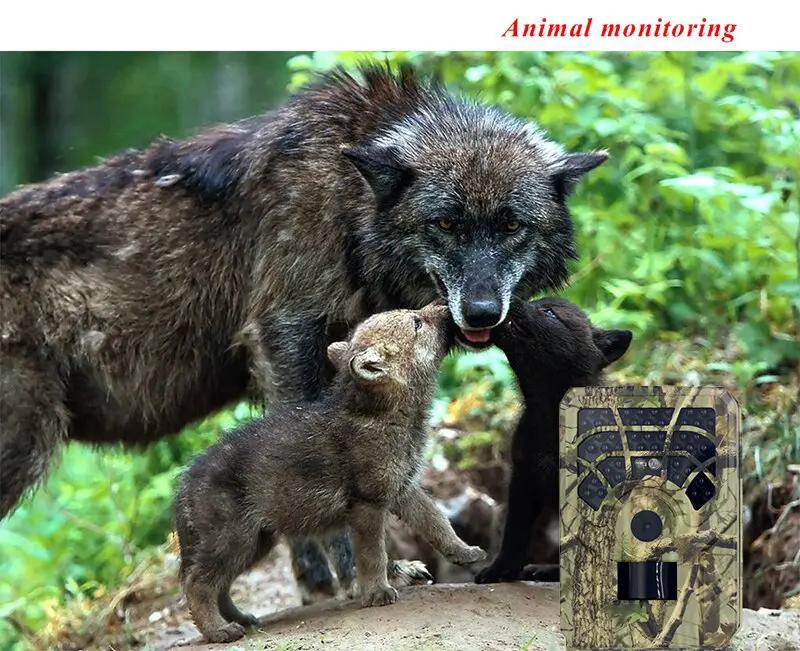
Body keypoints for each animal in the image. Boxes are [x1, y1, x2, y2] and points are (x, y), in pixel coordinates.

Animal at [0, 65, 605, 593]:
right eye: (446, 223)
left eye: (511, 225)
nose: (482, 312)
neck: (345, 202)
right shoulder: (285, 337)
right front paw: (361, 572)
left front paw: (320, 575)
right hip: (26, 449)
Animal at [175, 302, 485, 642]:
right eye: (417, 322)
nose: (444, 305)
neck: (384, 416)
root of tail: (183, 484)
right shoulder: (367, 504)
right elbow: (373, 553)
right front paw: (378, 593)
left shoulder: (403, 490)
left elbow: (437, 522)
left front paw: (465, 551)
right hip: (235, 539)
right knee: (198, 583)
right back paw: (220, 631)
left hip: (257, 541)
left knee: (219, 585)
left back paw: (241, 620)